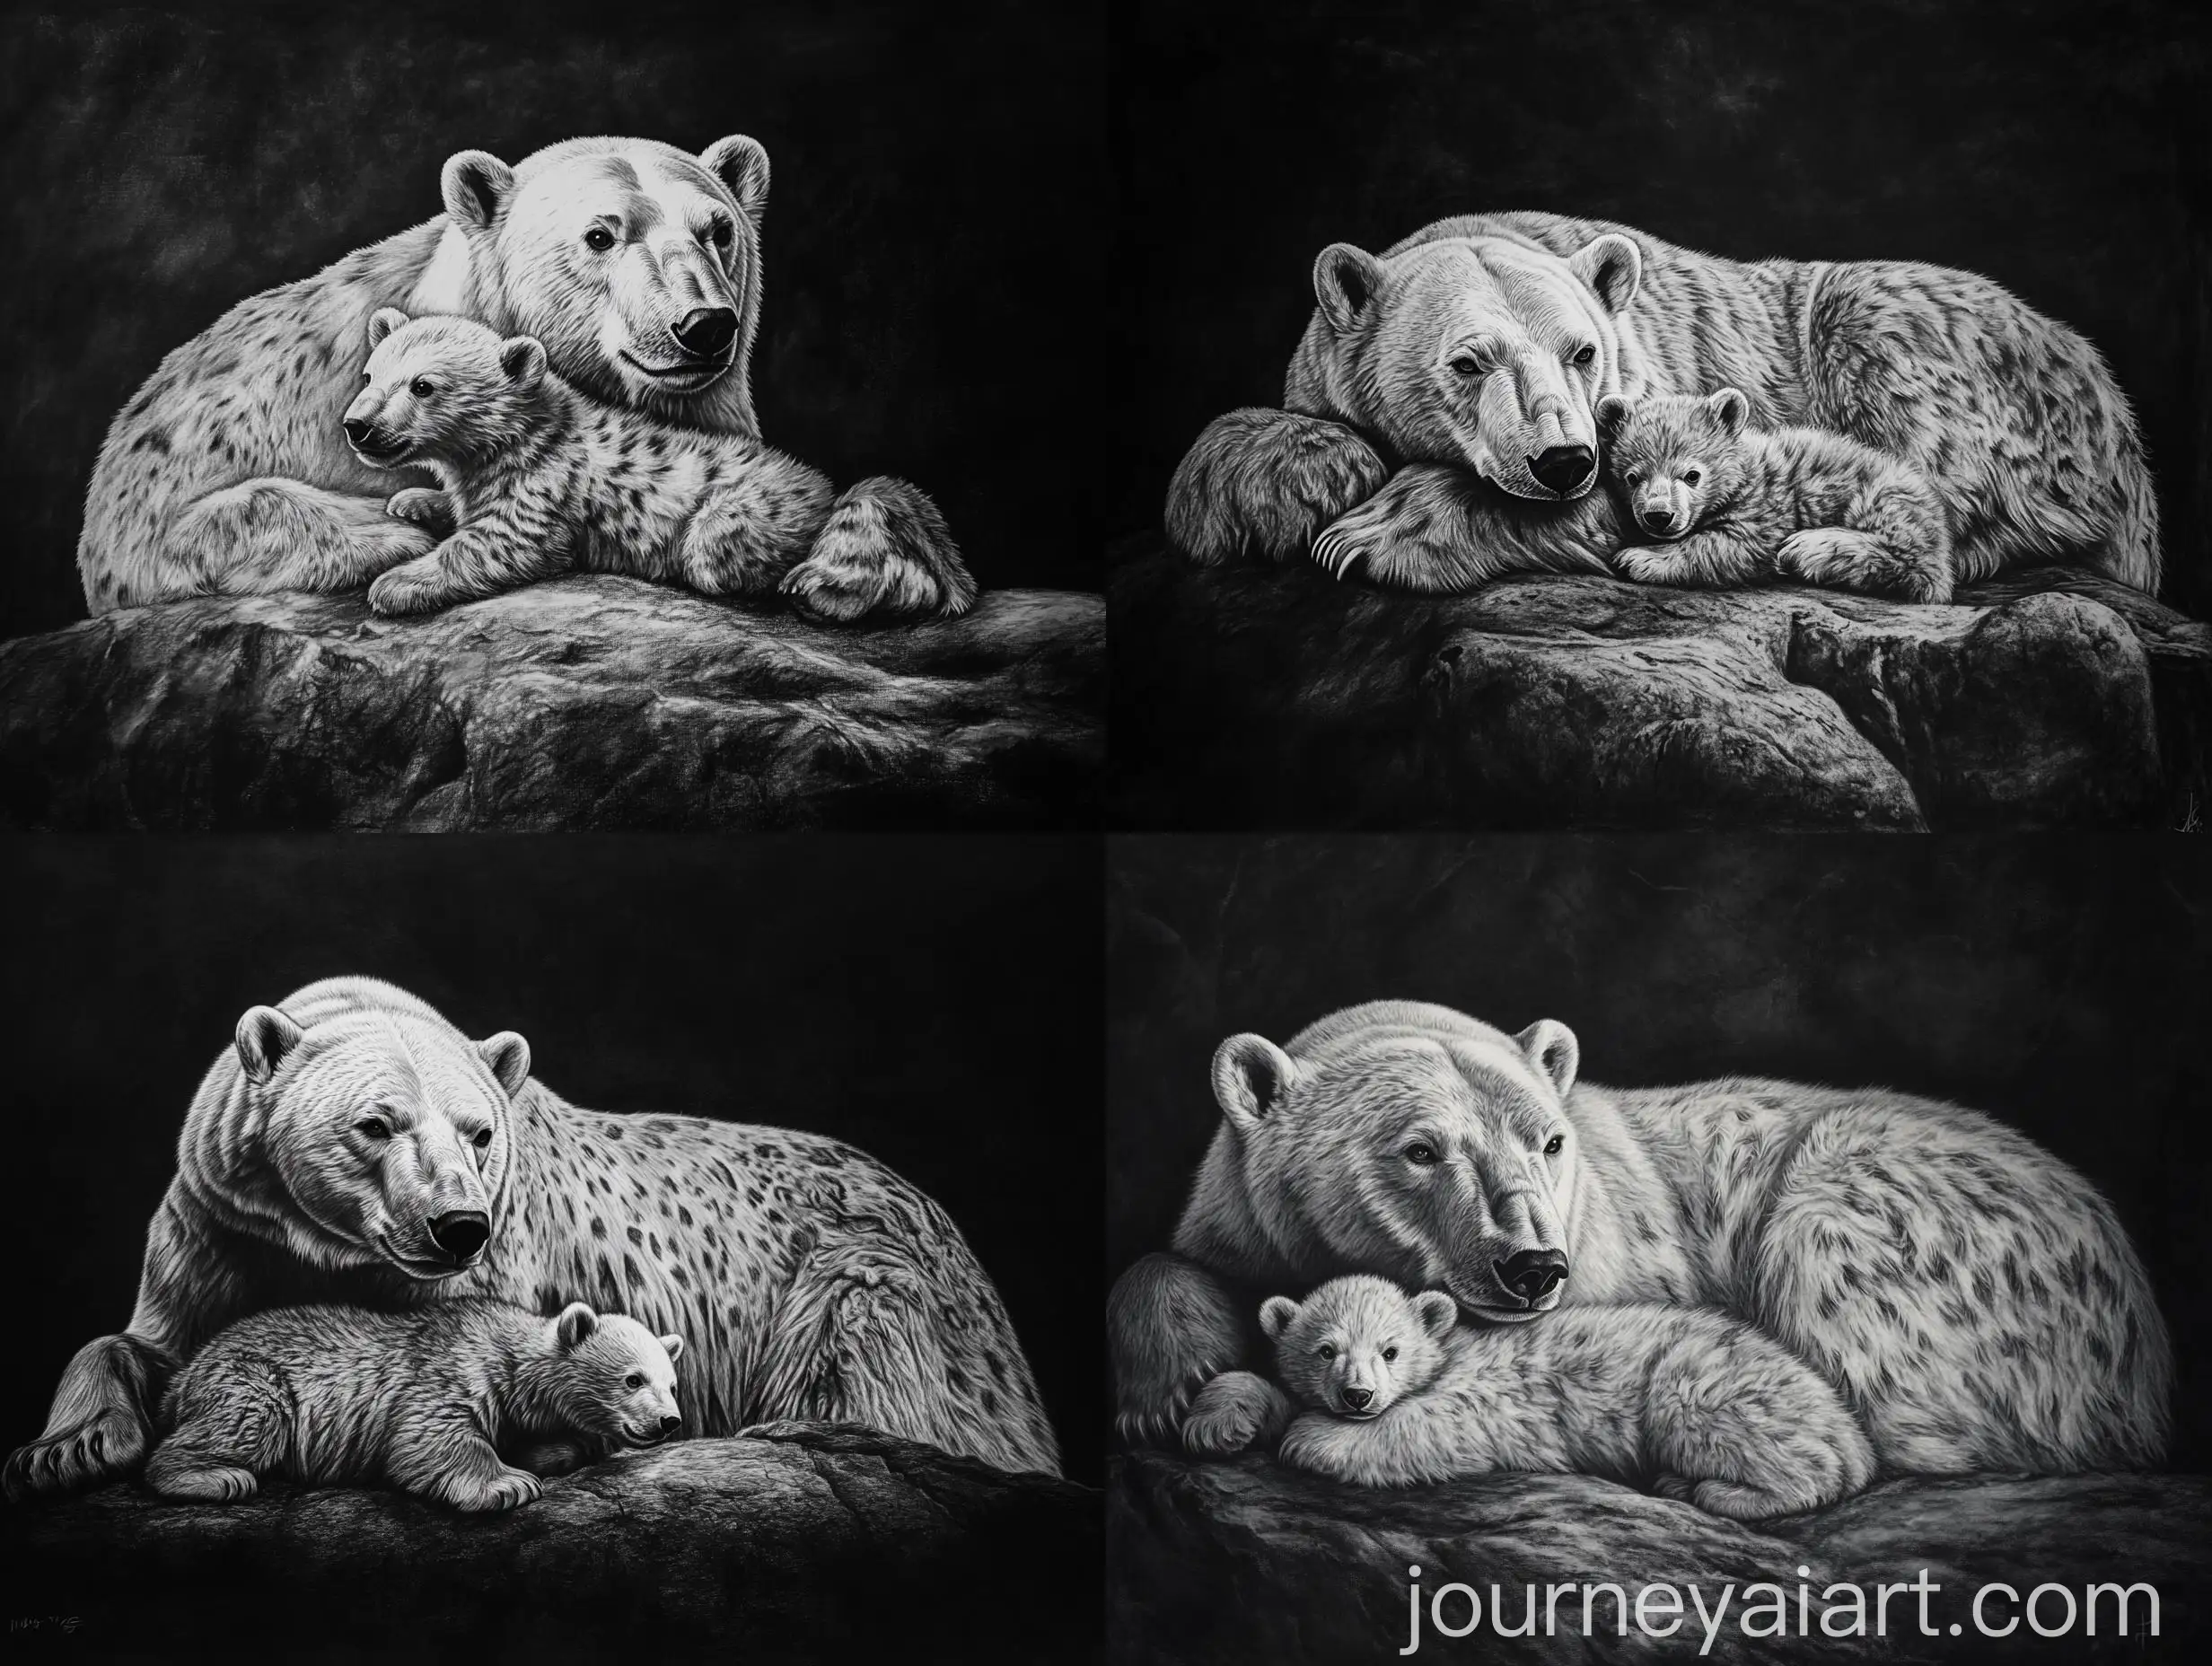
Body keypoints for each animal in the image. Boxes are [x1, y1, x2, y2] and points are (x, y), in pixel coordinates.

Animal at [145, 1298, 683, 1513]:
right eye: (633, 1378)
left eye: (671, 1383)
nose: (670, 1421)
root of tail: (185, 1374)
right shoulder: (451, 1369)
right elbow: (428, 1434)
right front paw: (509, 1484)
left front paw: (555, 1452)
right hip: (255, 1378)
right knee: (246, 1420)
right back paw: (215, 1476)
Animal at [341, 311, 970, 618]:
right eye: (369, 374)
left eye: (423, 385)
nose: (358, 426)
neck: (529, 425)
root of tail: (821, 486)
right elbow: (463, 503)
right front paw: (414, 499)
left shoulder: (547, 479)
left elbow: (503, 542)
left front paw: (395, 583)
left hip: (751, 509)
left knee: (723, 548)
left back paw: (818, 592)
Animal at [1108, 1000, 2170, 1481]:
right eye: (1420, 1148)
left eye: (1548, 1139)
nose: (1534, 1265)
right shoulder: (1239, 1215)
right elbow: (1178, 1260)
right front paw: (1178, 1393)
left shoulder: (1615, 1251)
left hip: (1903, 1217)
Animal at [1257, 1274, 1876, 1521]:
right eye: (1324, 1350)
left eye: (1390, 1350)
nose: (1357, 1396)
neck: (1457, 1345)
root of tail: (1849, 1428)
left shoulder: (1483, 1393)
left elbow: (1428, 1430)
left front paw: (1309, 1436)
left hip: (1705, 1382)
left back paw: (1716, 1491)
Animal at [1596, 387, 1955, 602]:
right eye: (1633, 477)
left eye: (1691, 475)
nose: (1658, 516)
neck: (1743, 472)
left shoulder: (1766, 502)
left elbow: (1732, 546)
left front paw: (1639, 557)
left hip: (1884, 490)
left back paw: (1812, 548)